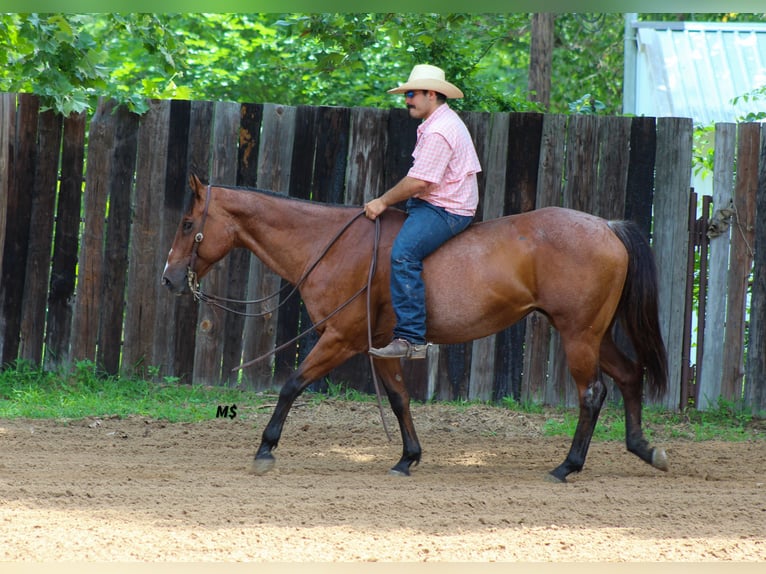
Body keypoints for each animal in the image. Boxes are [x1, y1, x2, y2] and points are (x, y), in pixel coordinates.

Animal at [162, 173, 669, 483]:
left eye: (187, 223)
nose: (168, 278)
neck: (334, 246)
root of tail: (606, 226)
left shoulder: (340, 339)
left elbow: (291, 385)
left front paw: (265, 451)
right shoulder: (381, 345)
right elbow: (399, 398)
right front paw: (408, 458)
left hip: (578, 334)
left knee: (593, 393)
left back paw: (568, 465)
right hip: (594, 334)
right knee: (629, 376)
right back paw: (644, 449)